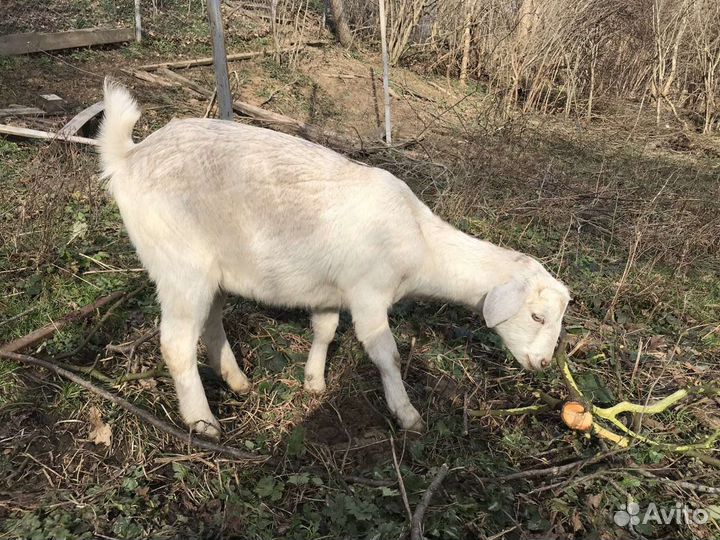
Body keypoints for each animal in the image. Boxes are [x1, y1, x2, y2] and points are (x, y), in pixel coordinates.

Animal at [99, 80, 570, 437]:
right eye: (537, 317)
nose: (545, 364)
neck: (421, 239)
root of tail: (128, 157)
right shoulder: (369, 294)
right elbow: (386, 354)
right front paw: (407, 414)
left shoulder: (330, 290)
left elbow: (324, 330)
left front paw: (314, 381)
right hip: (179, 264)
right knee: (176, 343)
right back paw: (203, 422)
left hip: (210, 270)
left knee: (210, 322)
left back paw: (238, 381)